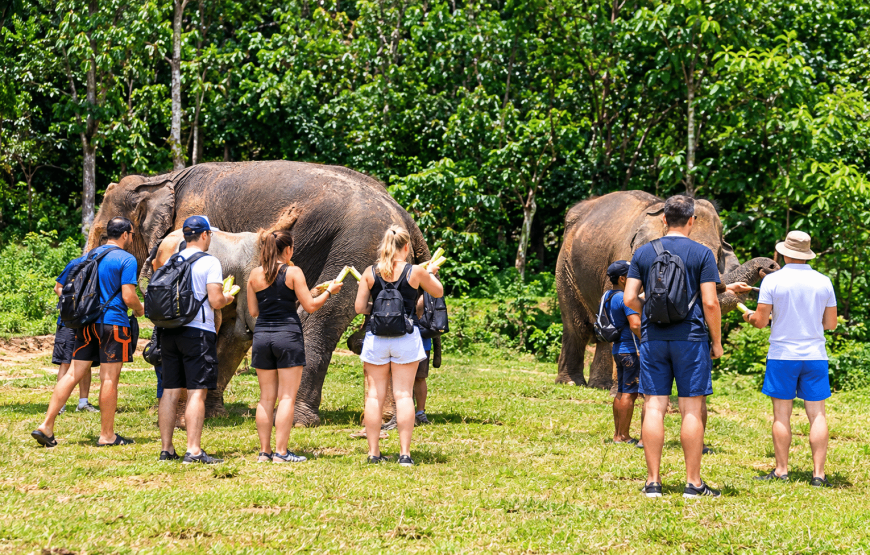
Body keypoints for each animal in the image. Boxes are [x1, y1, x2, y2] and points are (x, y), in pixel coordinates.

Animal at [87, 161, 434, 426]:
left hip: (358, 243)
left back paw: (294, 419)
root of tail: (404, 215)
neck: (159, 180)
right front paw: (212, 414)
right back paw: (390, 419)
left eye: (104, 235)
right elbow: (232, 328)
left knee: (317, 321)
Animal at [555, 190, 779, 388]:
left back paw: (600, 386)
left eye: (716, 254)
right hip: (564, 265)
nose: (770, 266)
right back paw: (572, 383)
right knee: (577, 326)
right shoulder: (628, 256)